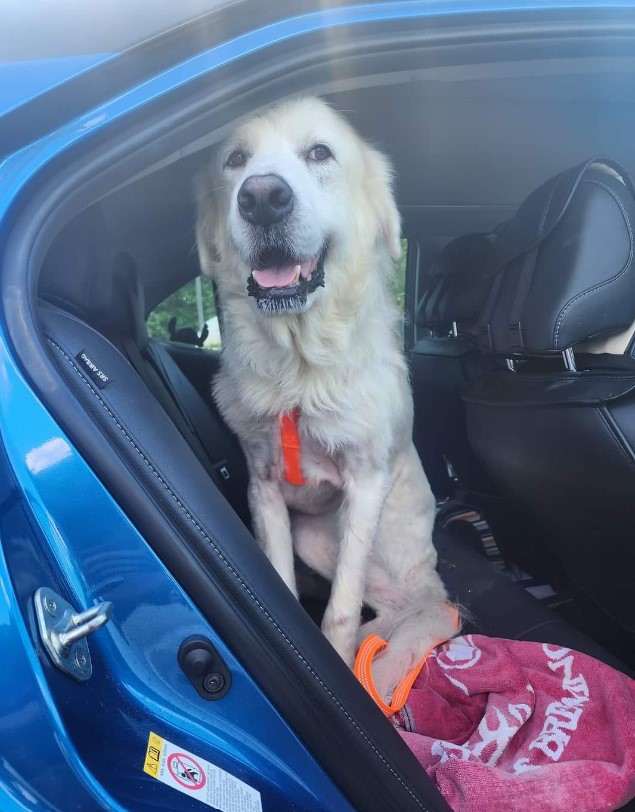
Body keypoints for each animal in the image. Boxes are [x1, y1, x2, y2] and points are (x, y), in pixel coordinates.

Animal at [198, 98, 458, 700]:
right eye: (235, 160)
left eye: (320, 152)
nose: (261, 197)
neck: (298, 370)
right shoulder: (264, 486)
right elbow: (282, 586)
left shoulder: (365, 485)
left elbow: (341, 608)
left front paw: (338, 659)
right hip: (310, 535)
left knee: (395, 606)